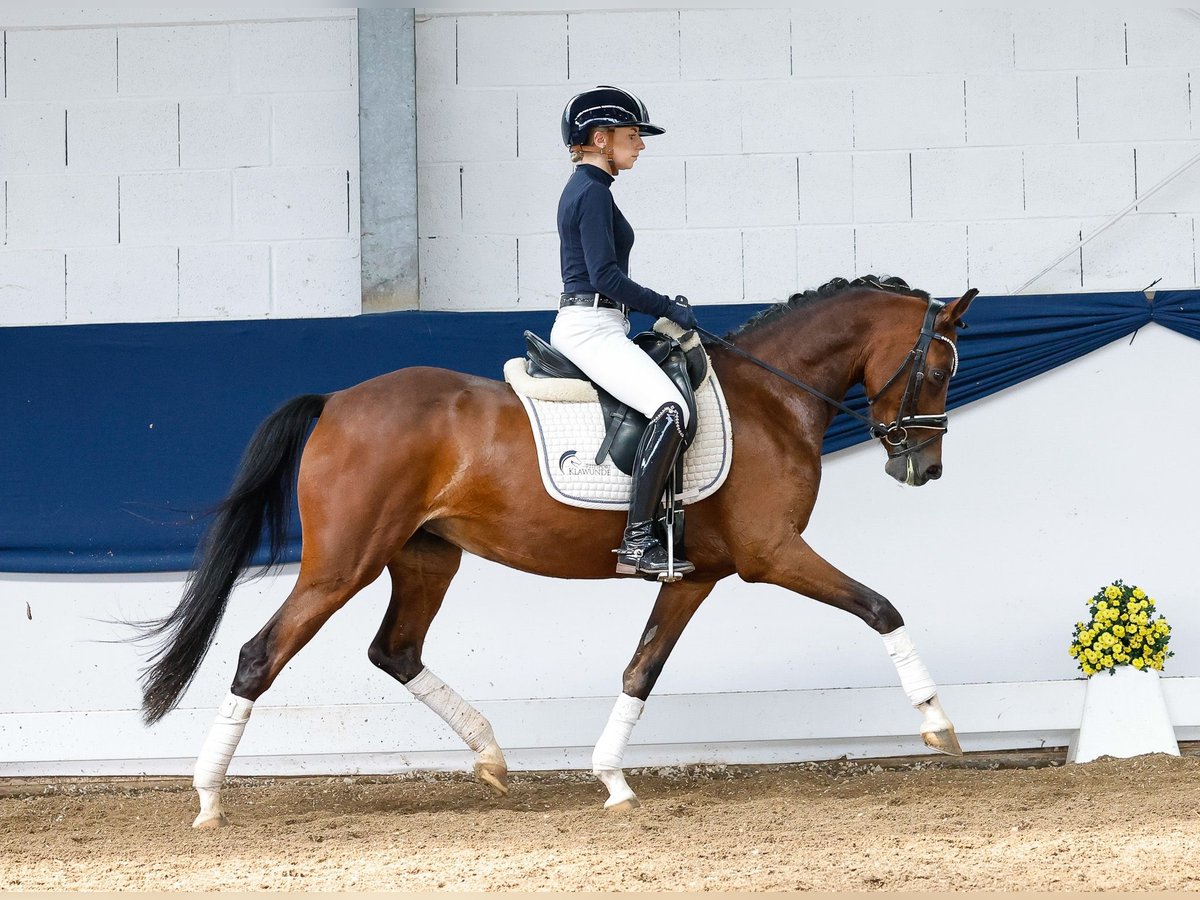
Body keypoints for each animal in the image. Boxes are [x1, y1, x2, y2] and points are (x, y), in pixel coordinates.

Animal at [136, 277, 974, 830]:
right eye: (937, 369)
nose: (925, 469)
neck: (772, 399)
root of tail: (338, 402)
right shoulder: (774, 554)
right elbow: (881, 608)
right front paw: (938, 724)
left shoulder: (696, 575)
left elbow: (641, 669)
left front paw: (613, 781)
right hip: (343, 564)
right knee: (259, 655)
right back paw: (208, 799)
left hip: (426, 558)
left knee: (395, 650)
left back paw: (491, 756)